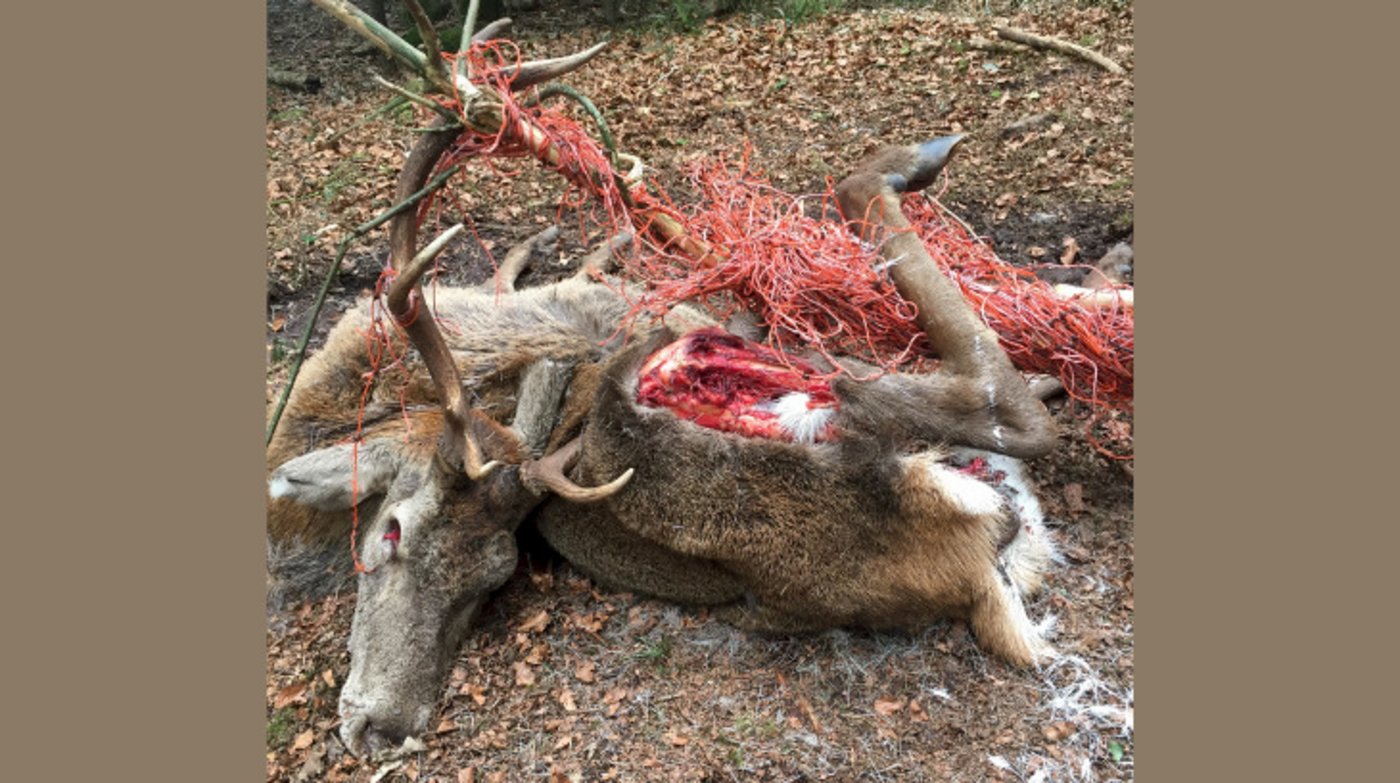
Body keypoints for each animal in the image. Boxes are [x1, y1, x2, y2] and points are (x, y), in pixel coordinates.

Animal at [268, 0, 1061, 757]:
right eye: (390, 533)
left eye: (495, 578)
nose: (383, 726)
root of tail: (980, 555)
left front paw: (588, 235)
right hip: (799, 391)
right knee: (1005, 403)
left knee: (1002, 397)